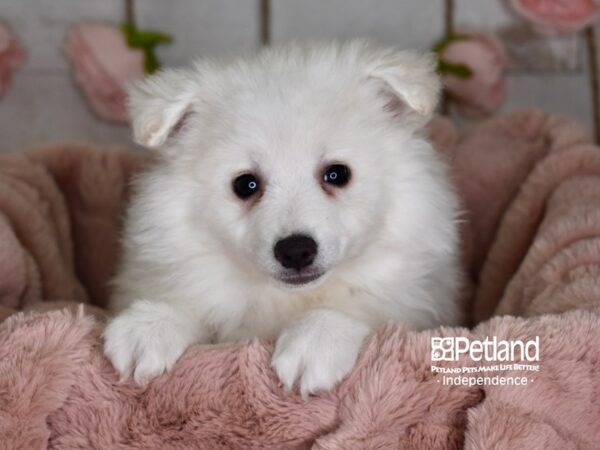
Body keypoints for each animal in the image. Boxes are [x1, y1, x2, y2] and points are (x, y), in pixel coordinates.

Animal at [103, 40, 462, 396]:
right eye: (245, 184)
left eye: (337, 174)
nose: (296, 250)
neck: (285, 298)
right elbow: (189, 301)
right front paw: (148, 326)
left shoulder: (413, 299)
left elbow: (360, 304)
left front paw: (316, 341)